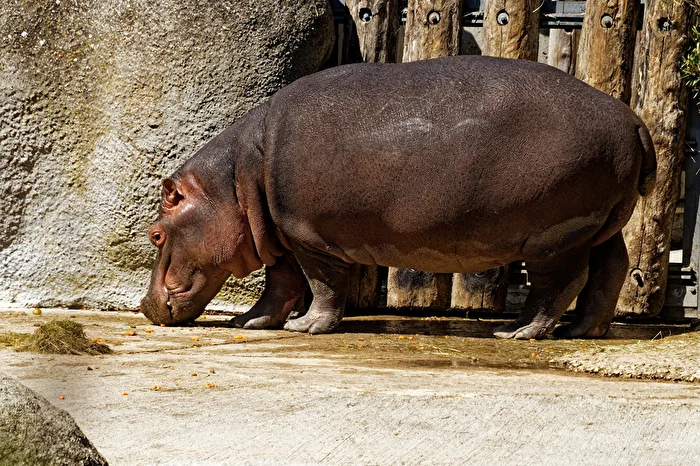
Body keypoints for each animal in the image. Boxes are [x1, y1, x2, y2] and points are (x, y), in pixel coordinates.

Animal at [140, 55, 655, 339]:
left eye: (155, 235)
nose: (145, 307)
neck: (234, 181)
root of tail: (632, 117)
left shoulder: (308, 237)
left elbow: (322, 284)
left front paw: (306, 327)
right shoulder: (282, 237)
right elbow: (280, 285)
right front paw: (248, 324)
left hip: (556, 236)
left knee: (561, 282)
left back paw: (517, 332)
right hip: (599, 224)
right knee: (612, 267)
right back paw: (582, 330)